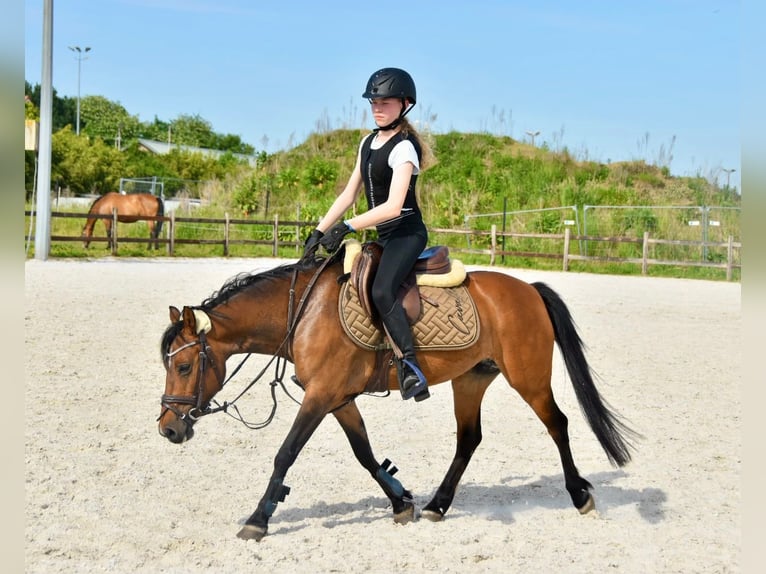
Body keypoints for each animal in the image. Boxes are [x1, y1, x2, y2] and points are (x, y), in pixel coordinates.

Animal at [157, 246, 639, 542]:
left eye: (183, 367)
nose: (168, 430)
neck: (302, 313)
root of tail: (529, 289)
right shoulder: (338, 398)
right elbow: (365, 453)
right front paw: (401, 500)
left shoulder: (321, 396)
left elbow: (285, 453)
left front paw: (259, 519)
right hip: (471, 379)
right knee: (469, 439)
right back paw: (438, 505)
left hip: (529, 377)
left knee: (558, 424)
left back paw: (580, 496)